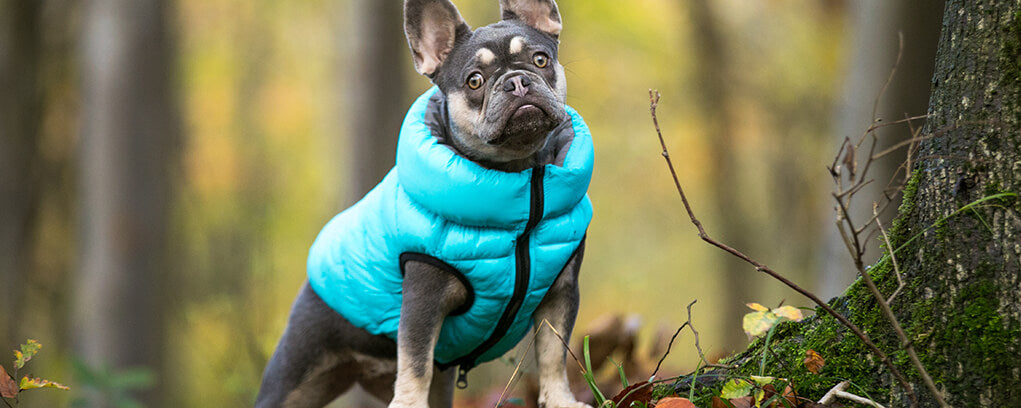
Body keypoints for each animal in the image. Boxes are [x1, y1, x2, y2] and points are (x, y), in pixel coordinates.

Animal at [252, 1, 596, 405]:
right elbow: (416, 363)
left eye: (540, 59)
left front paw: (560, 399)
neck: (521, 178)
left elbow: (554, 352)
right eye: (474, 81)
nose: (517, 81)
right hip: (297, 369)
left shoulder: (560, 294)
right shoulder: (422, 303)